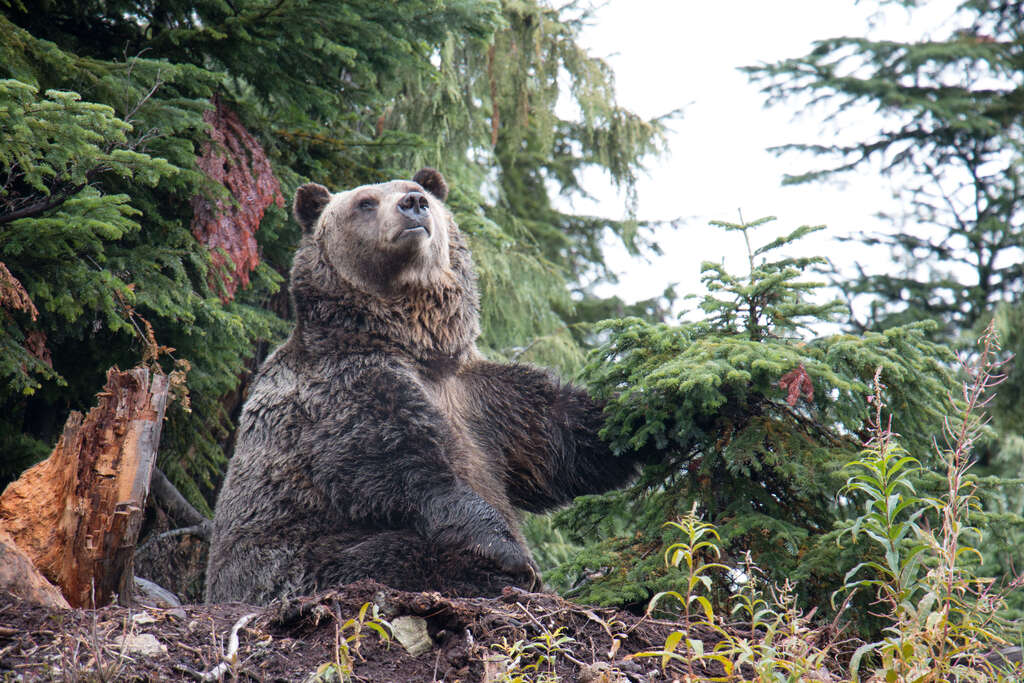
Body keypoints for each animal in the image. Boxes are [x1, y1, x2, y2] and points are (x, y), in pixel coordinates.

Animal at [205, 171, 638, 602]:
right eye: (365, 201)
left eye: (416, 190)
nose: (413, 204)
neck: (415, 346)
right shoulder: (341, 390)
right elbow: (404, 465)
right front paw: (506, 550)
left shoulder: (482, 399)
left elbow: (559, 438)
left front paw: (642, 416)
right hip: (289, 563)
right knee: (395, 557)